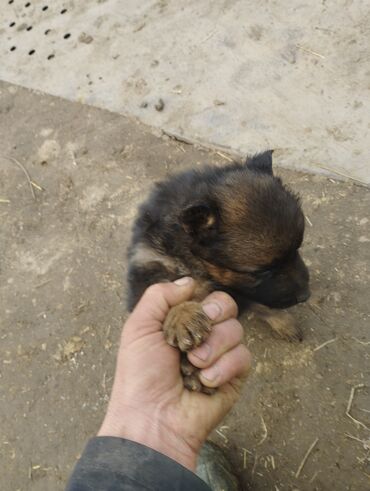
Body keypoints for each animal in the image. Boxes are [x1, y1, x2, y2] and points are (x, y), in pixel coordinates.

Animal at [126, 152, 310, 394]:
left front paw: (283, 321)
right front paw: (183, 317)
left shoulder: (243, 290)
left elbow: (262, 303)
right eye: (264, 270)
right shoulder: (148, 266)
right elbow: (163, 285)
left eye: (297, 249)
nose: (306, 296)